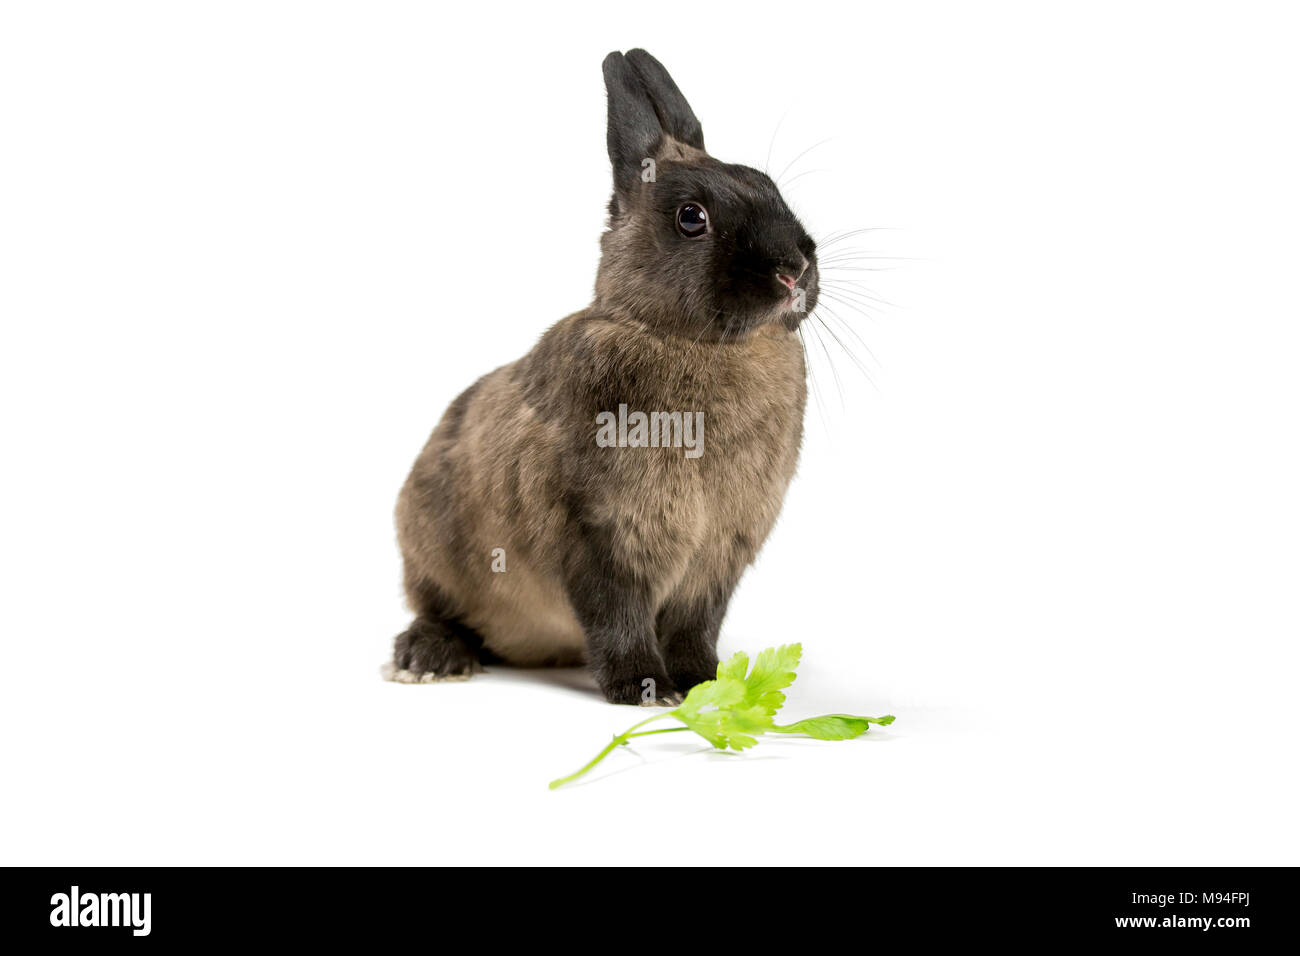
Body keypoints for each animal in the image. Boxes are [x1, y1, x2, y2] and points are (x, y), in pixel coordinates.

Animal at [384, 48, 816, 702]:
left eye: (769, 188)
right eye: (692, 218)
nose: (794, 270)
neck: (687, 339)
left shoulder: (718, 555)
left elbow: (695, 625)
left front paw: (704, 684)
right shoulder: (596, 536)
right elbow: (616, 615)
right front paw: (645, 688)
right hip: (431, 542)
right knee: (440, 608)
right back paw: (427, 657)